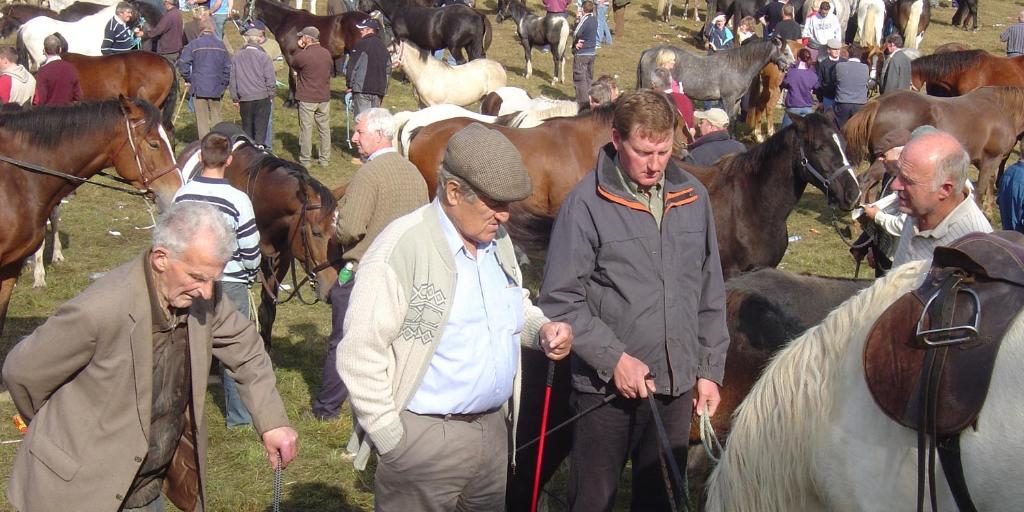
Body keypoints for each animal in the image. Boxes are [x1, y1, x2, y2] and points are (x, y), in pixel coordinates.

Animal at [839, 86, 1024, 209]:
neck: (1002, 109)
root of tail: (878, 103)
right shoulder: (990, 159)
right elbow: (980, 191)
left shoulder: (989, 161)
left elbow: (991, 185)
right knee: (864, 181)